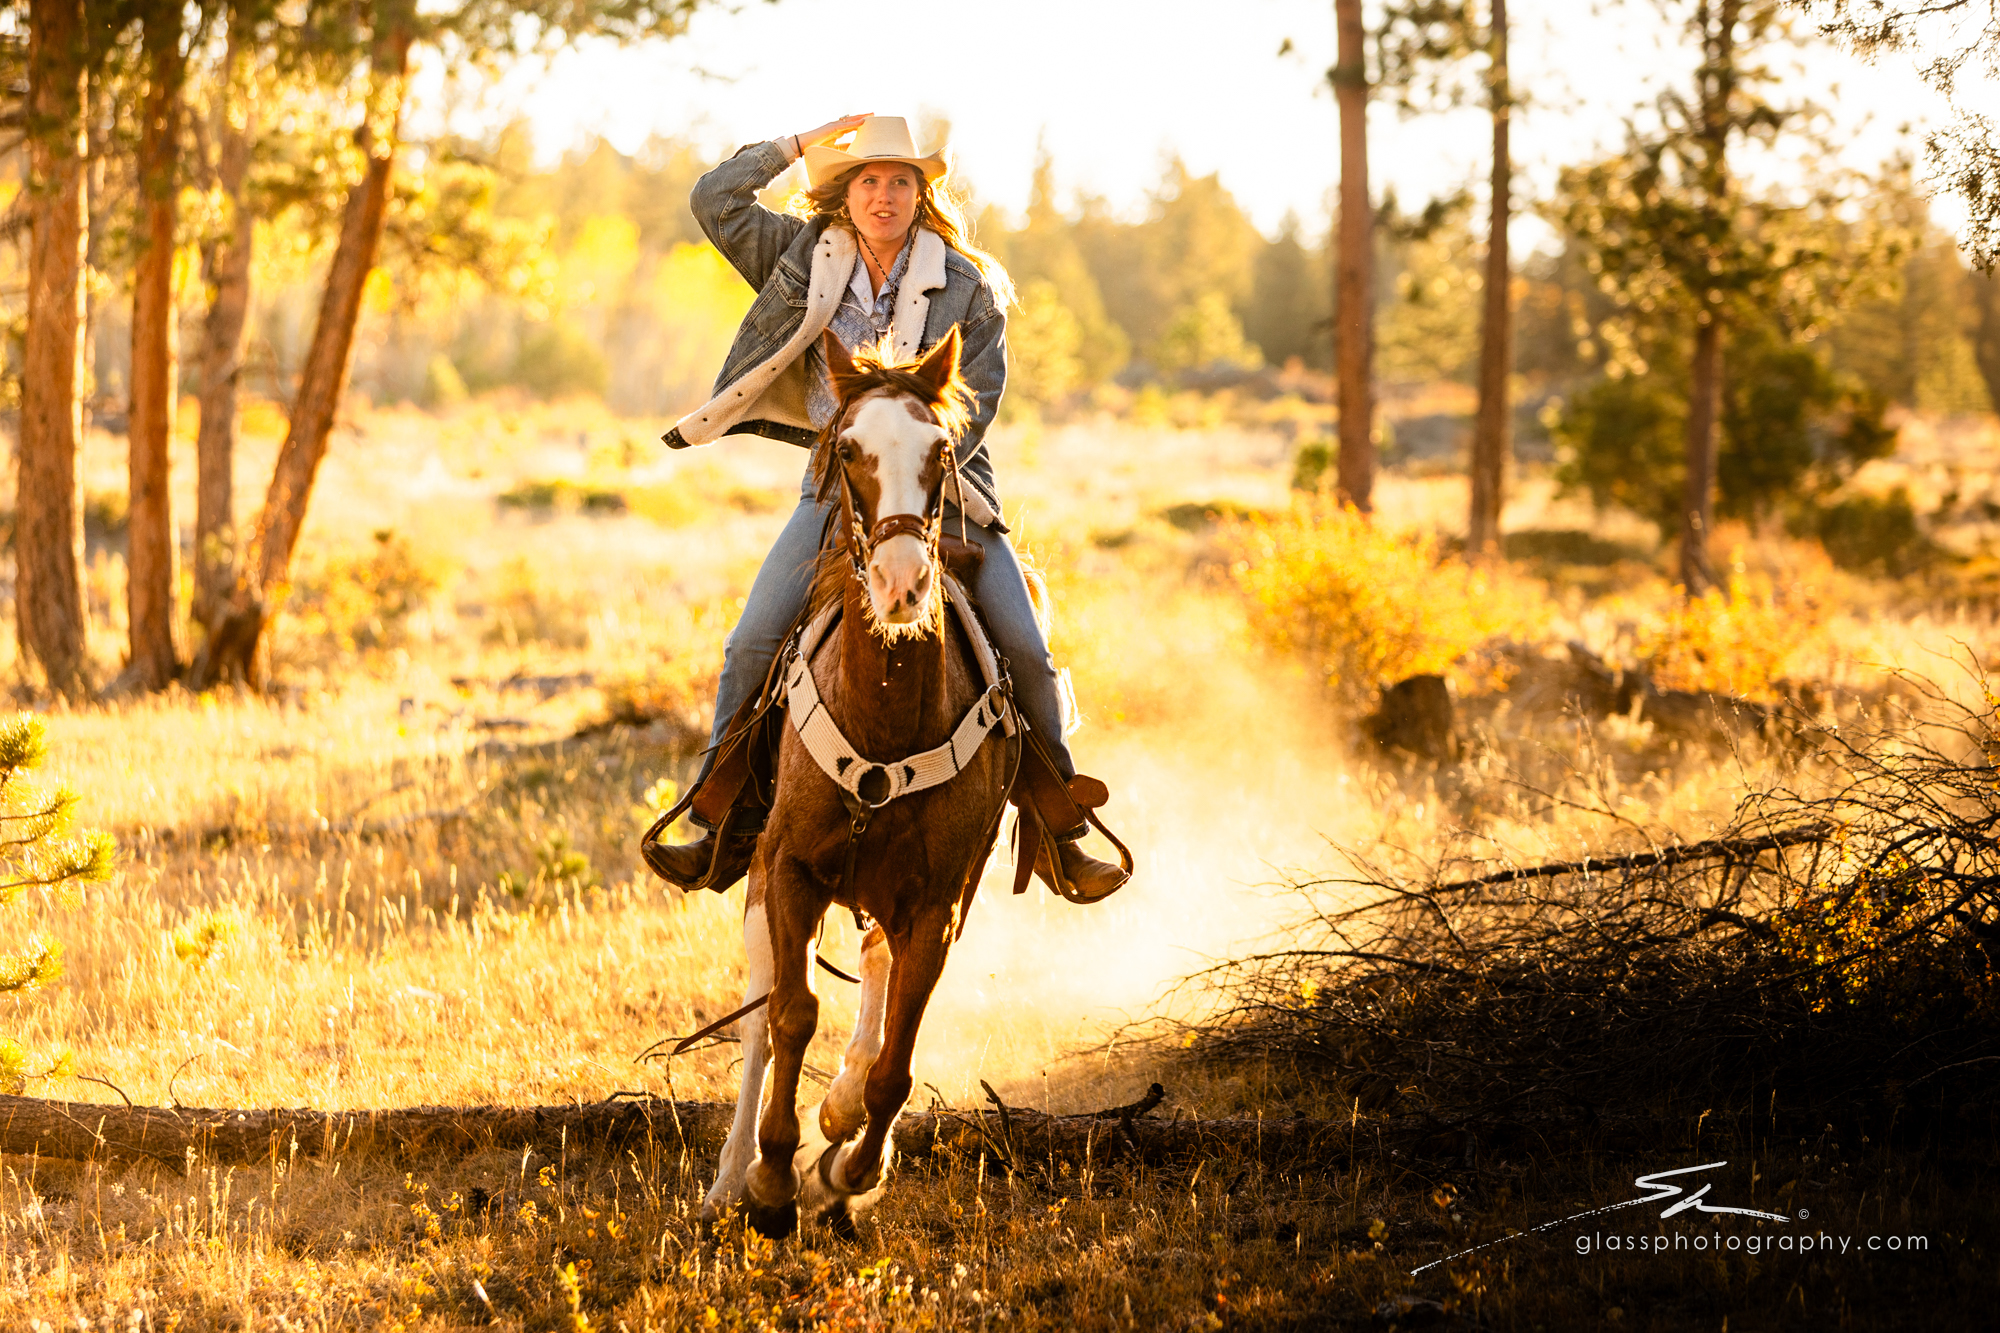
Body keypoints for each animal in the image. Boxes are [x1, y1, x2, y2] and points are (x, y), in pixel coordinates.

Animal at [704, 324, 1016, 1232]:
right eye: (849, 450)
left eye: (941, 451)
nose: (902, 584)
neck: (884, 712)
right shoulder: (790, 869)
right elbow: (790, 1013)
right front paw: (772, 1175)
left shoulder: (938, 902)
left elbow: (896, 1056)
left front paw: (850, 1165)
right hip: (762, 881)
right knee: (759, 1017)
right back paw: (730, 1177)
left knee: (875, 987)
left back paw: (838, 1124)